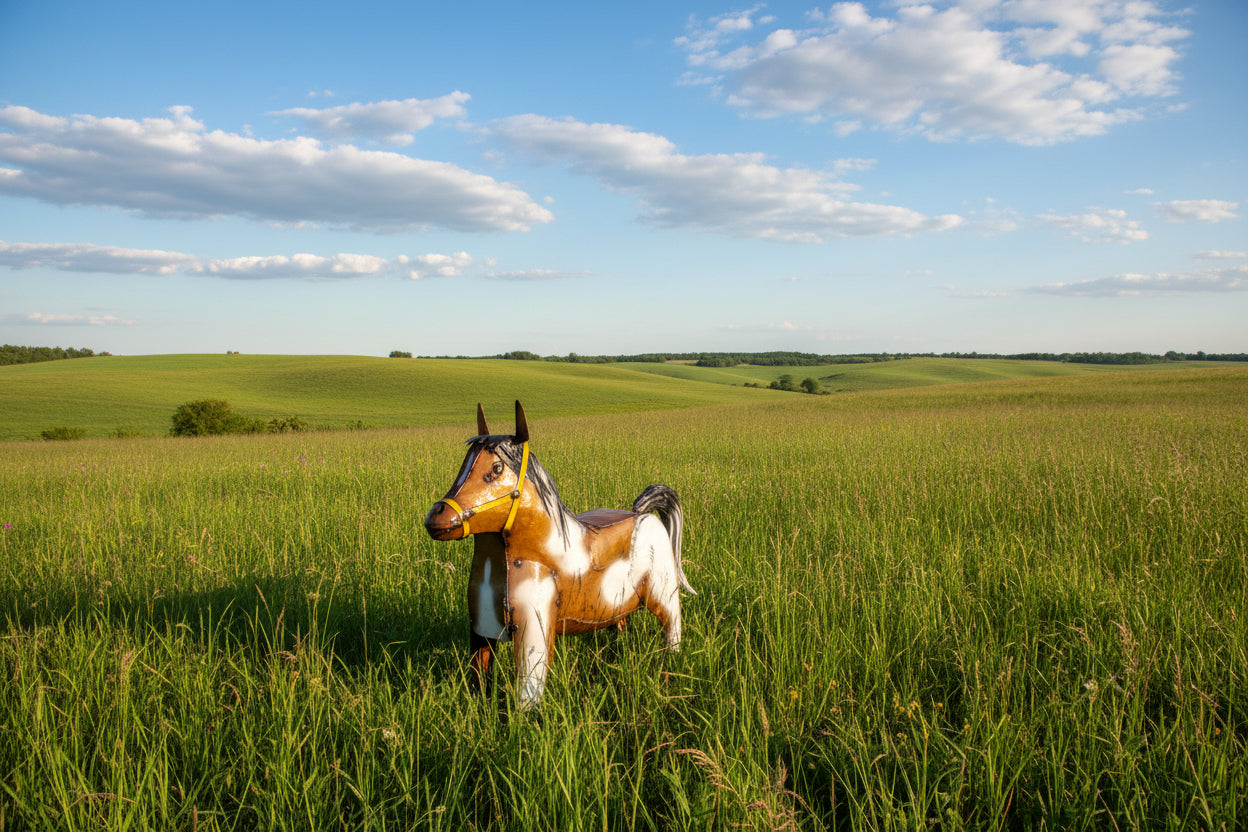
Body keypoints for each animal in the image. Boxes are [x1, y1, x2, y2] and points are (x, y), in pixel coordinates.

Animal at [424, 401, 694, 708]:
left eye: (496, 467)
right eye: (464, 463)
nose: (437, 518)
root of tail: (642, 513)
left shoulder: (534, 632)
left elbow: (528, 695)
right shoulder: (481, 627)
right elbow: (479, 678)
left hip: (665, 597)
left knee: (672, 635)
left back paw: (668, 675)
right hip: (617, 605)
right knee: (620, 628)